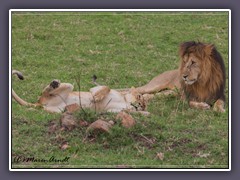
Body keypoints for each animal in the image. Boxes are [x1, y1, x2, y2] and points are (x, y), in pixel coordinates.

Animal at [13, 69, 149, 114]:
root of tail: (40, 103)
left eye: (144, 105)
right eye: (139, 96)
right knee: (47, 91)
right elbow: (107, 87)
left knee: (43, 109)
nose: (141, 106)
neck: (124, 100)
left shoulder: (112, 111)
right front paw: (96, 98)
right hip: (69, 85)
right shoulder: (94, 89)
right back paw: (54, 83)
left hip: (57, 110)